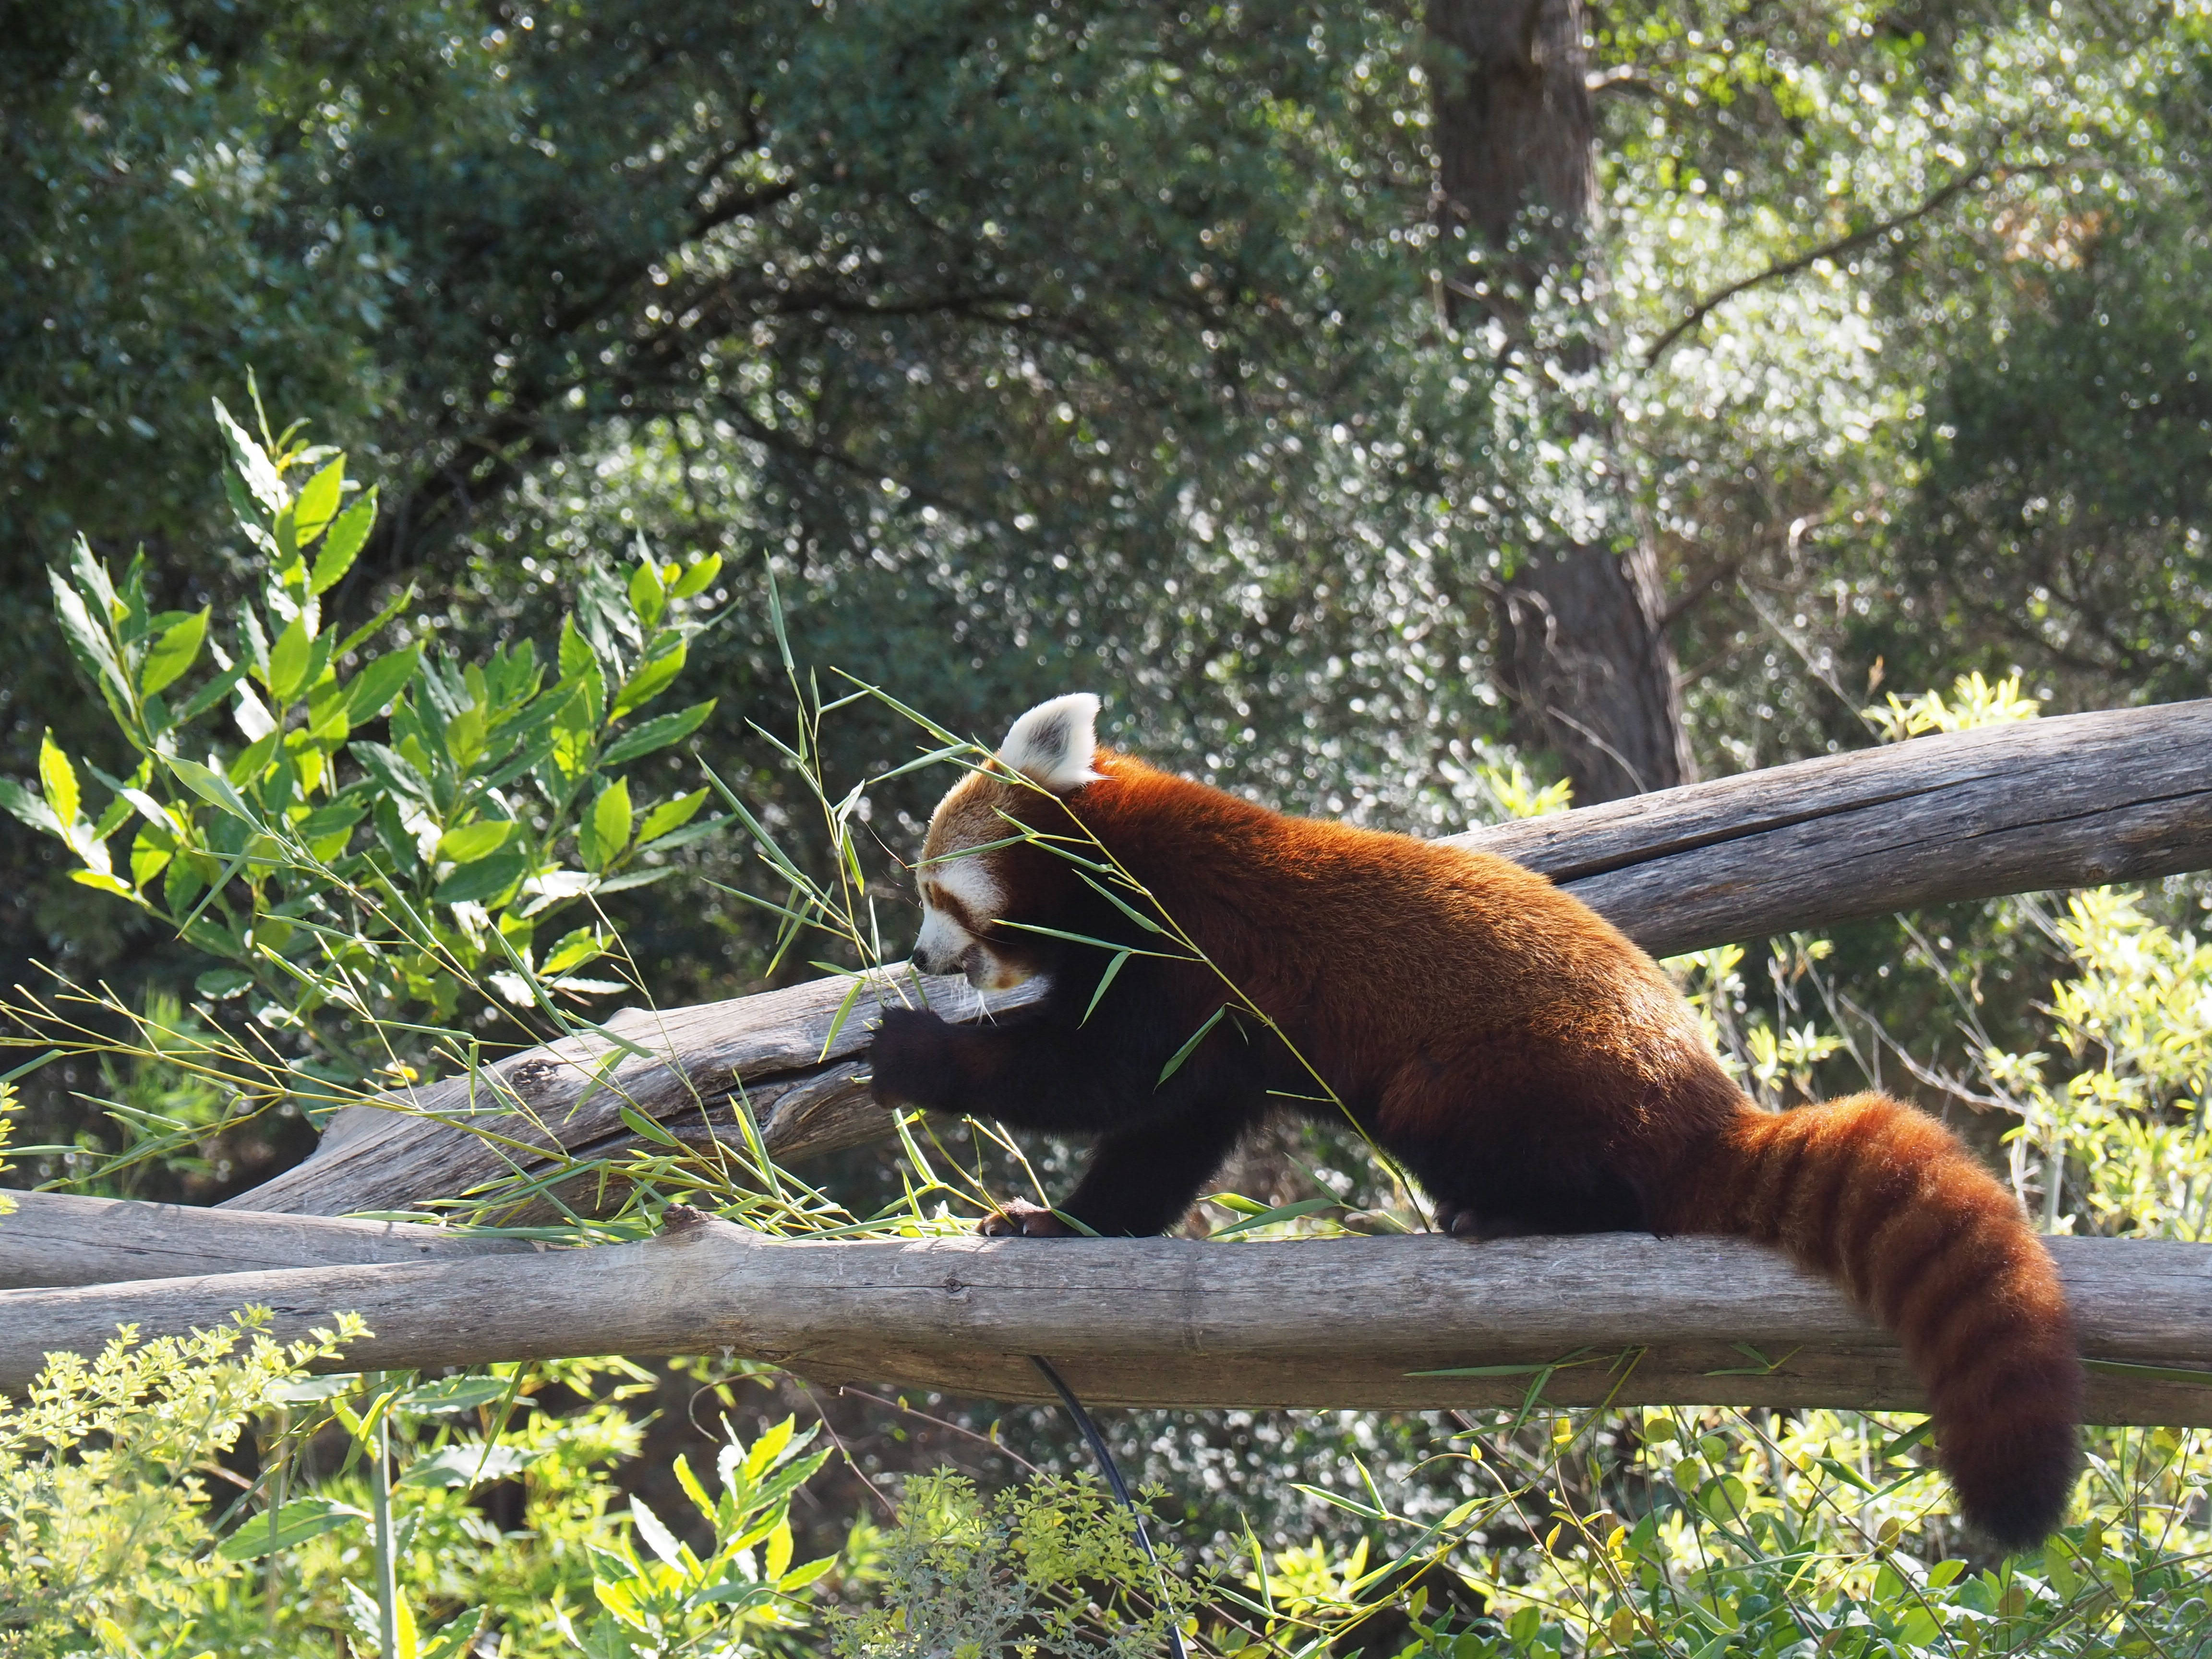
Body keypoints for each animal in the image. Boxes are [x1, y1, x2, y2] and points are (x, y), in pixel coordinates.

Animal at [868, 693, 2082, 1548]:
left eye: (934, 892)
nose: (920, 958)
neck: (1116, 865)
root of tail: (1706, 1109)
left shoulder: (1183, 951)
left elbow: (1099, 1079)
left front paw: (914, 1052)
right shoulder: (1210, 1032)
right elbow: (1162, 1138)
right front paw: (1060, 1224)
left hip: (1500, 1079)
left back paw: (1516, 1213)